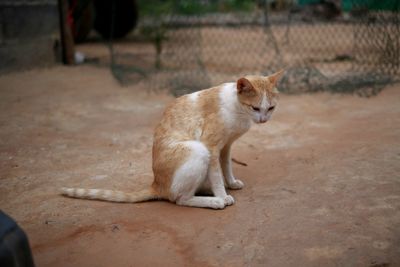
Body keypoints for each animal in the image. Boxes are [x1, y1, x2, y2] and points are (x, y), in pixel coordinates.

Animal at [60, 70, 284, 209]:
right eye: (255, 108)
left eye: (271, 108)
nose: (263, 120)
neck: (239, 112)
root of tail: (156, 184)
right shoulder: (211, 146)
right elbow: (216, 175)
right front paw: (222, 194)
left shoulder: (226, 146)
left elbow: (226, 167)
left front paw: (231, 182)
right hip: (197, 150)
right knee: (179, 199)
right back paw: (213, 201)